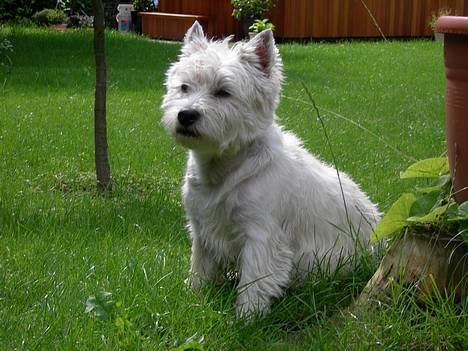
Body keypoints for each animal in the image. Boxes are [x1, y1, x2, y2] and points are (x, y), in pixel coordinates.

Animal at [161, 22, 380, 316]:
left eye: (223, 91)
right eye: (184, 87)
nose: (186, 115)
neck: (224, 168)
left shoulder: (261, 235)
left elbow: (255, 280)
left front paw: (246, 316)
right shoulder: (202, 226)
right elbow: (201, 266)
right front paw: (195, 294)